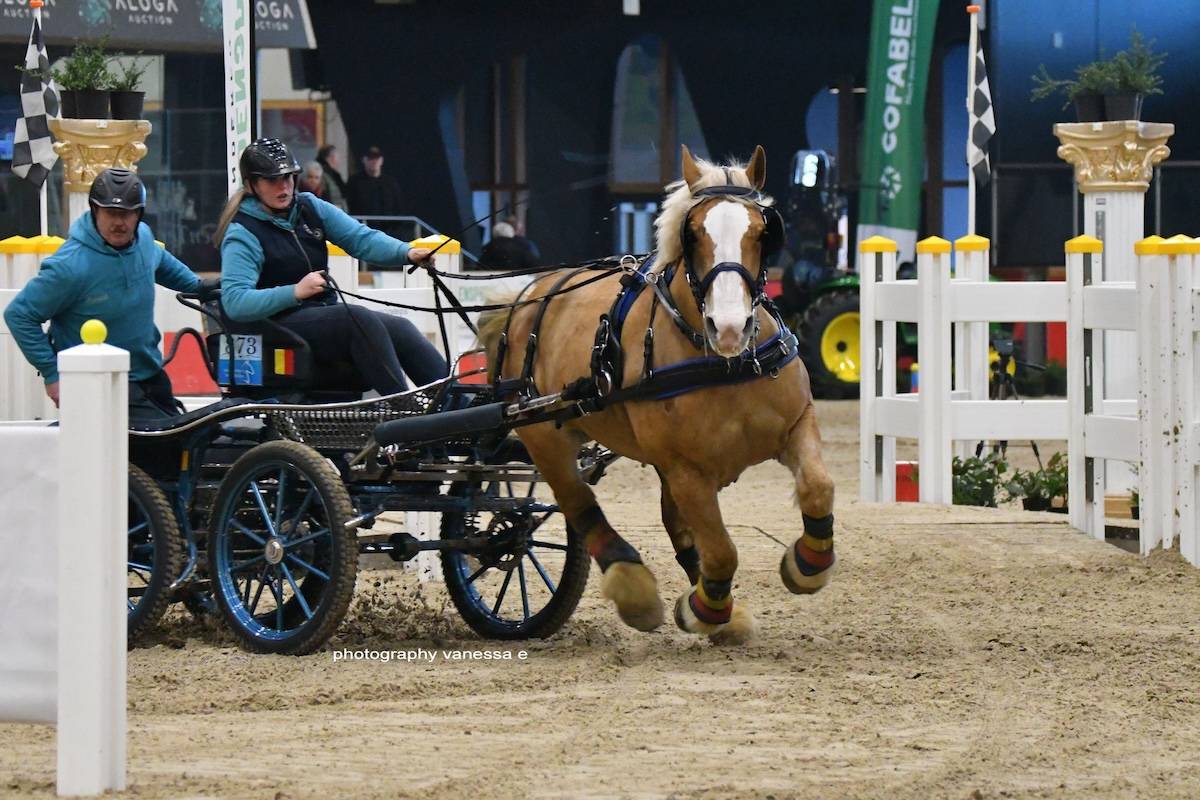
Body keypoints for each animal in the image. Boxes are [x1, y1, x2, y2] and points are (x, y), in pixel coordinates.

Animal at [477, 143, 835, 642]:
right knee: (577, 503)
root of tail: (527, 297)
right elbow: (721, 549)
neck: (723, 364)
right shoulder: (684, 468)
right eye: (692, 233)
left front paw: (807, 565)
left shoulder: (797, 423)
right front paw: (704, 608)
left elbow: (818, 488)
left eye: (764, 232)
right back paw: (636, 590)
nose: (729, 327)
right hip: (543, 434)